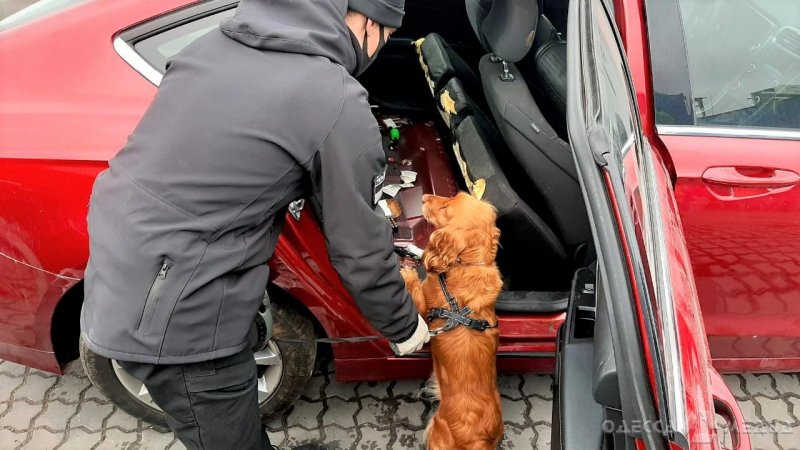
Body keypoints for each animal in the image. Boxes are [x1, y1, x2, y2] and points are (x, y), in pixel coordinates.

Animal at [404, 192, 504, 450]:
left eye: (446, 206)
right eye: (450, 195)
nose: (424, 196)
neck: (469, 263)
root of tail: (479, 440)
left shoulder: (423, 305)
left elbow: (413, 286)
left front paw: (406, 270)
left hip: (436, 431)